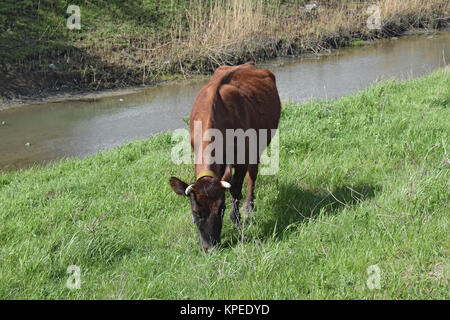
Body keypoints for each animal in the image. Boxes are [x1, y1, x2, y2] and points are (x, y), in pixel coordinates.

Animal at [170, 60, 282, 250]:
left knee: (252, 175)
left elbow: (235, 188)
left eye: (221, 209)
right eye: (195, 212)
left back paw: (249, 207)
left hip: (258, 145)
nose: (211, 246)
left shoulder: (243, 155)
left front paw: (236, 220)